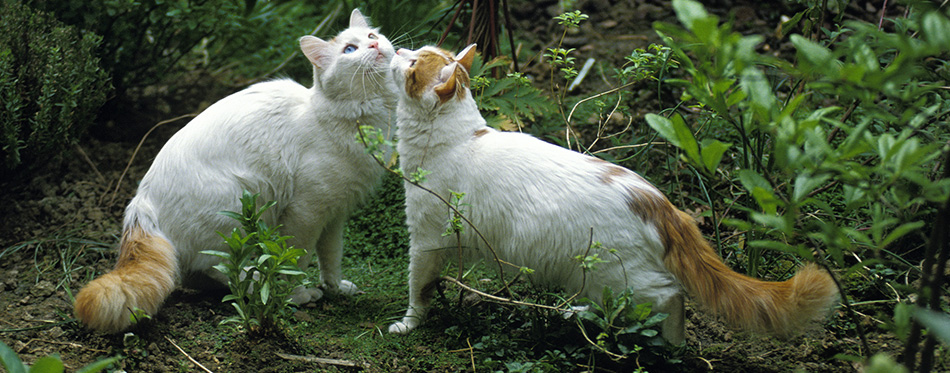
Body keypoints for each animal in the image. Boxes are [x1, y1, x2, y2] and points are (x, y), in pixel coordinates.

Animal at [74, 9, 398, 332]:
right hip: (240, 209)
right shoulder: (306, 213)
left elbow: (331, 259)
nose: (373, 46)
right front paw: (294, 294)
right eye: (349, 50)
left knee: (195, 273)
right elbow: (294, 260)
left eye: (371, 36)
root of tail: (141, 201)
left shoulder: (335, 215)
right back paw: (258, 287)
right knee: (220, 267)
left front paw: (335, 288)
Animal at [386, 45, 840, 344]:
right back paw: (578, 315)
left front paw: (409, 324)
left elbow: (417, 289)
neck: (459, 138)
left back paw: (674, 345)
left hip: (620, 276)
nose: (398, 47)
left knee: (672, 295)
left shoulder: (424, 241)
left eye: (413, 62)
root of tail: (661, 203)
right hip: (587, 273)